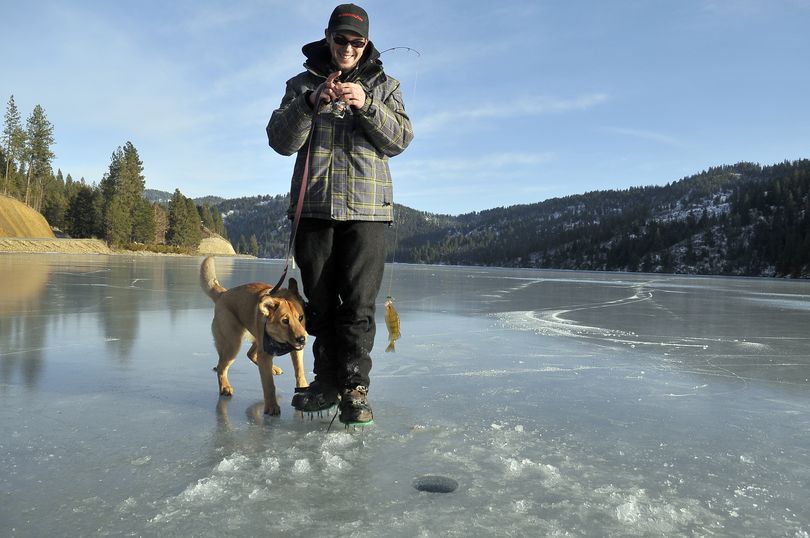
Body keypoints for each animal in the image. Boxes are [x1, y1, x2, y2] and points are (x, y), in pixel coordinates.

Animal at [198, 255, 306, 414]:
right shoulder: (266, 353)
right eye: (285, 321)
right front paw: (271, 406)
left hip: (256, 339)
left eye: (301, 318)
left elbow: (300, 372)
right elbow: (269, 385)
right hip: (233, 345)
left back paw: (273, 368)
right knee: (221, 367)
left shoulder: (296, 350)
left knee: (250, 354)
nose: (302, 339)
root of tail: (223, 293)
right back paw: (225, 387)